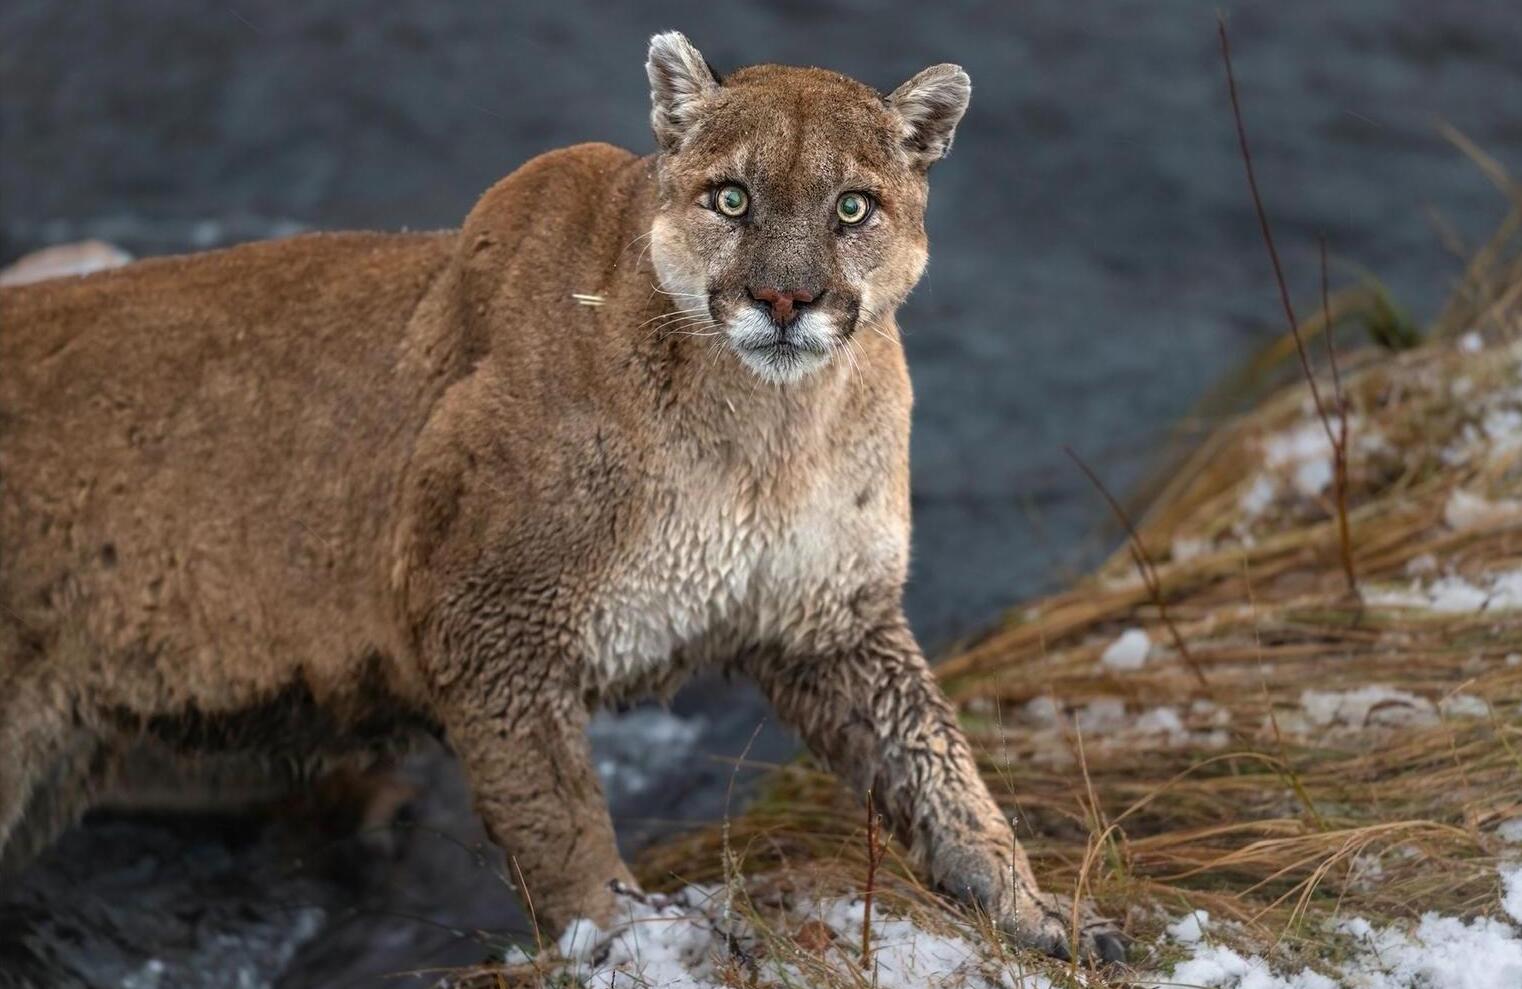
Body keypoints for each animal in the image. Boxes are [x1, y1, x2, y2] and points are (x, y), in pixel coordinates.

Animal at [0, 32, 1124, 965]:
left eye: (852, 206)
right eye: (731, 198)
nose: (785, 298)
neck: (762, 434)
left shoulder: (829, 618)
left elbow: (935, 765)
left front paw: (1033, 908)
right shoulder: (486, 620)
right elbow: (556, 811)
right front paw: (621, 935)